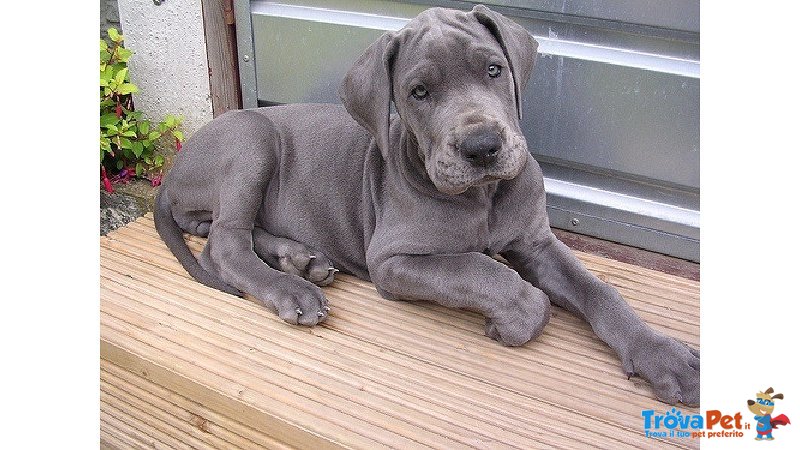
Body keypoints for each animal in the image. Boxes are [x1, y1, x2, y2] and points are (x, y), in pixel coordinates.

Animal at [155, 4, 700, 404]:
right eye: (418, 92)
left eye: (494, 70)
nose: (482, 146)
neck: (482, 195)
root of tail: (172, 173)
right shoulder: (393, 260)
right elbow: (483, 270)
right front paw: (517, 314)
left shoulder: (536, 243)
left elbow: (598, 290)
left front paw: (663, 355)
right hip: (251, 139)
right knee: (225, 244)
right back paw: (292, 289)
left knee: (225, 235)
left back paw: (301, 260)